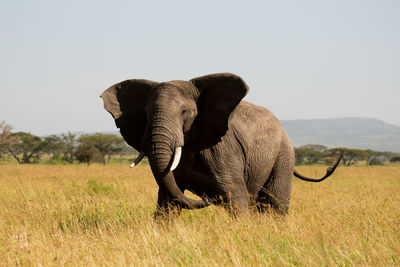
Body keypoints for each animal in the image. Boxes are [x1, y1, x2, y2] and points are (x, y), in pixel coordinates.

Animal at [101, 73, 342, 218]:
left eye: (184, 112)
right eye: (146, 113)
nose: (208, 199)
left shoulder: (223, 151)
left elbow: (236, 197)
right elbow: (168, 199)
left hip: (283, 156)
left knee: (275, 205)